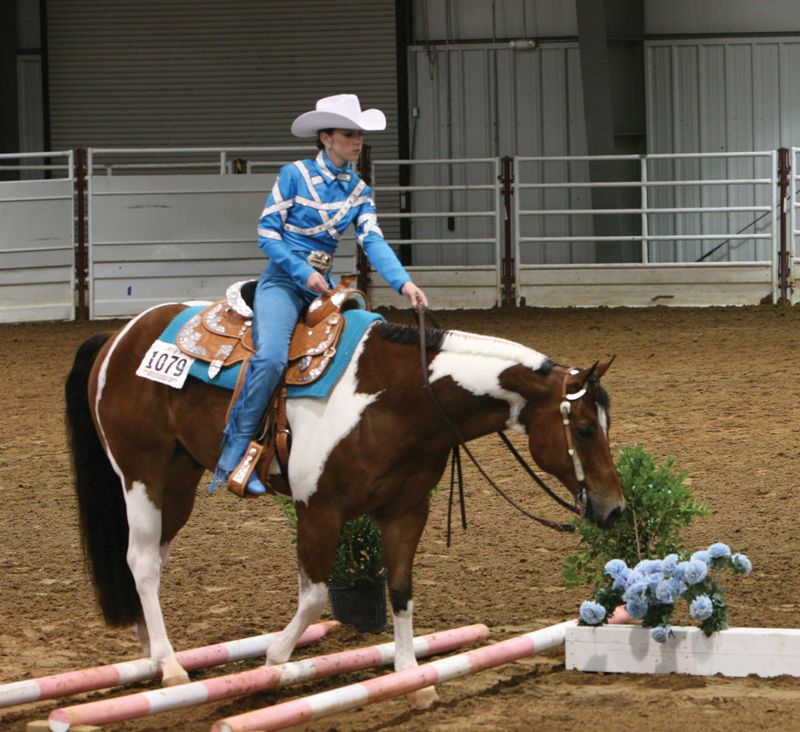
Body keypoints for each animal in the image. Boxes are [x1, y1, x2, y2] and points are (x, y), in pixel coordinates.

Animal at [64, 300, 624, 708]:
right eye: (583, 427)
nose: (615, 508)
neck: (399, 400)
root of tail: (117, 338)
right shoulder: (319, 510)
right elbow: (315, 596)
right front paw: (275, 657)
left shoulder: (406, 512)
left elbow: (401, 591)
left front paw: (411, 678)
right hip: (142, 472)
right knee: (141, 560)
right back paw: (172, 666)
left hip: (178, 479)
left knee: (153, 559)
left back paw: (151, 655)